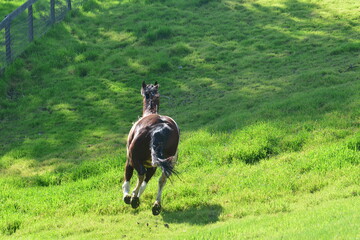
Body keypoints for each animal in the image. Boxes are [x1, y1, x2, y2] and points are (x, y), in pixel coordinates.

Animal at [122, 80, 180, 216]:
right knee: (162, 179)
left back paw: (134, 198)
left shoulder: (129, 160)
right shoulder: (152, 166)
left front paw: (128, 196)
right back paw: (156, 205)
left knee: (141, 174)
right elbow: (146, 183)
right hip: (169, 161)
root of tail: (159, 127)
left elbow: (128, 178)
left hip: (135, 158)